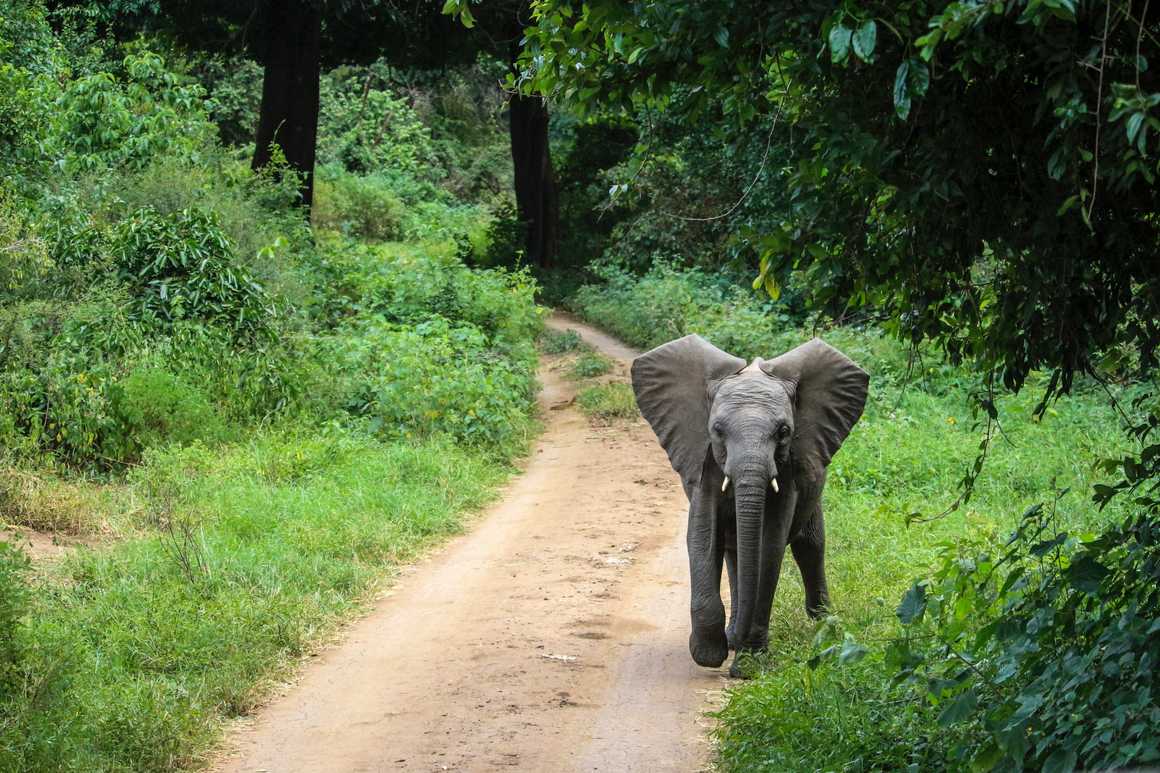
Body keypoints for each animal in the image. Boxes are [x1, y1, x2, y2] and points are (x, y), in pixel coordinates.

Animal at [631, 331, 867, 673]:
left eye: (784, 431)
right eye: (717, 430)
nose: (736, 663)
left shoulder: (788, 468)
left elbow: (769, 546)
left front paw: (749, 665)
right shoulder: (704, 461)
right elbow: (703, 536)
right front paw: (710, 655)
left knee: (810, 545)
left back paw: (823, 623)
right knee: (735, 551)